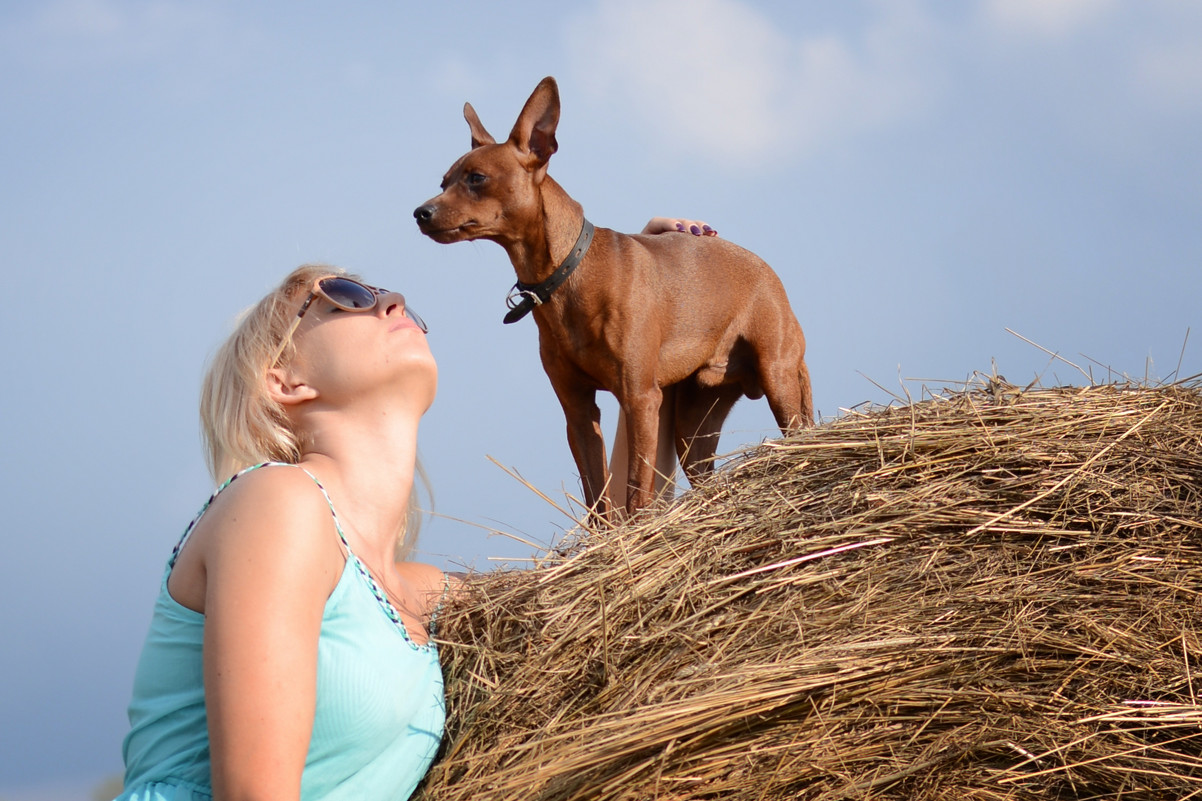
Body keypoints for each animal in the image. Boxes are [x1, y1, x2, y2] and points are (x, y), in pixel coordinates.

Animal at [415, 78, 817, 514]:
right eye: (443, 182)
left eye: (476, 178)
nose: (420, 213)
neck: (569, 276)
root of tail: (771, 274)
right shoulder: (578, 411)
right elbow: (598, 500)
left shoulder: (640, 398)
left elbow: (636, 488)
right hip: (693, 424)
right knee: (703, 475)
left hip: (778, 378)